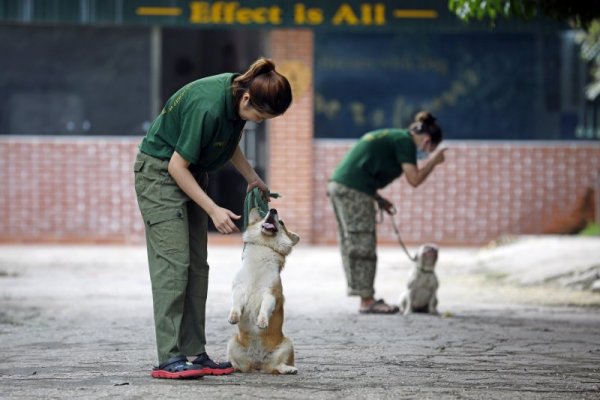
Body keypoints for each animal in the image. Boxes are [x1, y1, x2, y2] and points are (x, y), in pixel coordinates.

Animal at [226, 208, 300, 374]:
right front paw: (234, 316)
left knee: (278, 366)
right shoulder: (239, 288)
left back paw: (289, 369)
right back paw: (230, 366)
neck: (264, 246)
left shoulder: (270, 293)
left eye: (281, 222)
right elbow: (235, 303)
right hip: (232, 343)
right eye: (266, 213)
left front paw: (262, 321)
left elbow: (265, 307)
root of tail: (258, 364)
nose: (273, 210)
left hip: (287, 344)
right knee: (239, 366)